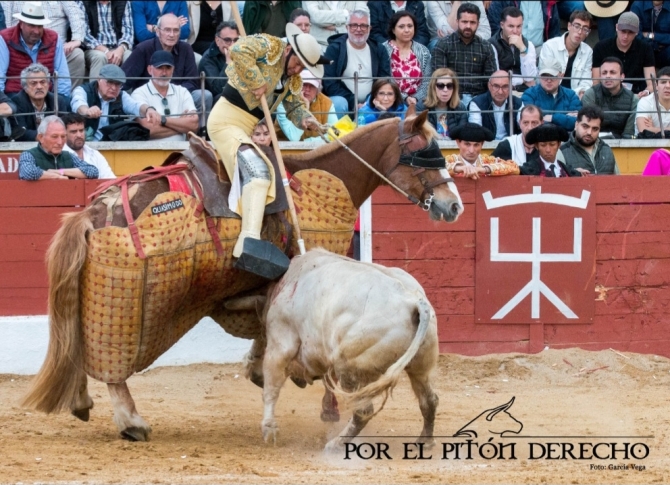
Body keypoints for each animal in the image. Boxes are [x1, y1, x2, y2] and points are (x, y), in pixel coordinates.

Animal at [21, 110, 463, 441]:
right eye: (425, 155)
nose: (453, 206)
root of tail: (93, 211)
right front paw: (327, 407)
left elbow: (263, 329)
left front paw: (260, 370)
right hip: (126, 303)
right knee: (109, 361)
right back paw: (131, 422)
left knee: (76, 338)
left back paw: (82, 403)